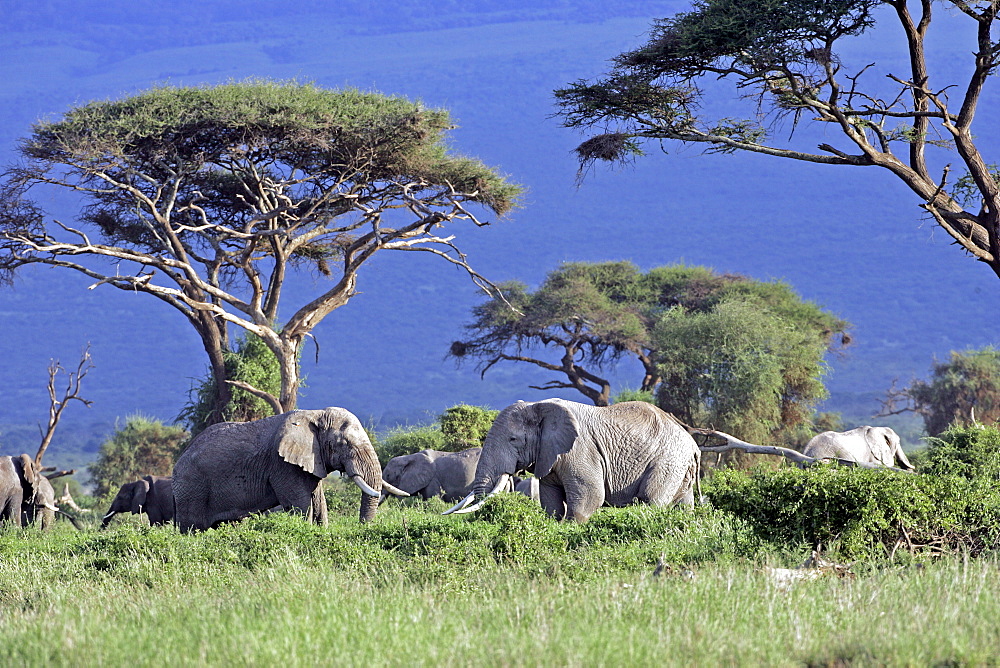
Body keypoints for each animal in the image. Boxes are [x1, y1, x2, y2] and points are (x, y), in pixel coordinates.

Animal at [172, 408, 406, 532]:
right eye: (343, 444)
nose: (361, 527)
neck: (315, 415)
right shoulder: (282, 465)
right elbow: (299, 504)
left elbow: (319, 502)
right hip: (192, 487)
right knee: (193, 526)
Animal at [446, 396, 704, 520]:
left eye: (513, 439)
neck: (537, 405)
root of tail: (694, 446)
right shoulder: (549, 455)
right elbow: (551, 503)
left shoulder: (580, 450)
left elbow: (589, 498)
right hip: (680, 467)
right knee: (683, 505)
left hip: (667, 461)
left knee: (651, 500)